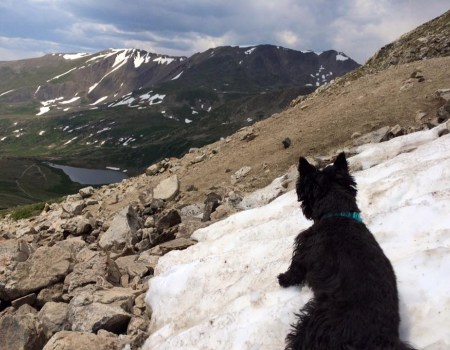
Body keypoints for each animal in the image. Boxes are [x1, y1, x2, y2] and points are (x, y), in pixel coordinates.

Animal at [280, 153, 416, 350]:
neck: (337, 213)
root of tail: (379, 338)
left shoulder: (303, 250)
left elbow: (295, 269)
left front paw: (283, 279)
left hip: (317, 321)